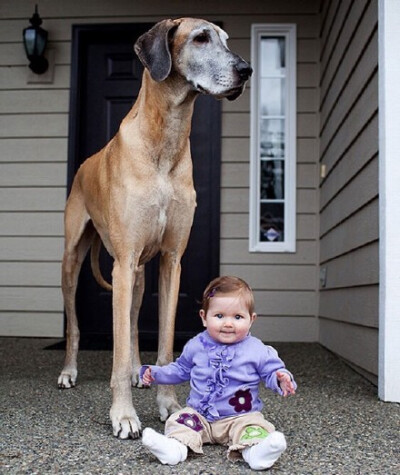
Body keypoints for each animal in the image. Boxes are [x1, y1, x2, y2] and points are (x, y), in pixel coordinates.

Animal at [57, 18, 252, 442]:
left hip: (139, 272)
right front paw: (124, 415)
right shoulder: (123, 263)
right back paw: (69, 370)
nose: (245, 70)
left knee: (131, 323)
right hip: (74, 261)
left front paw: (170, 405)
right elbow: (114, 352)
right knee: (77, 325)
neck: (167, 137)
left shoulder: (170, 261)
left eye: (226, 40)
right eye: (200, 38)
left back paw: (137, 371)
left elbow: (162, 340)